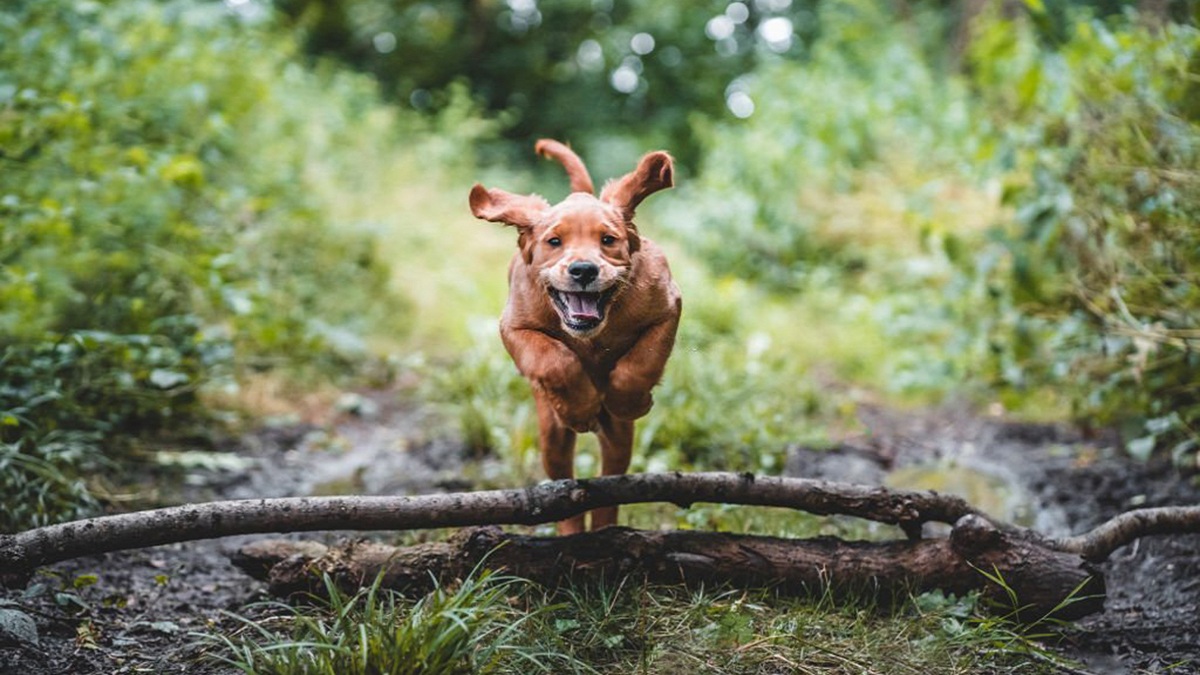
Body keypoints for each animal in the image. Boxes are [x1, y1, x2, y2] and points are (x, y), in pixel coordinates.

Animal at [468, 139, 681, 533]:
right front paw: (581, 408)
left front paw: (628, 401)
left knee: (611, 485)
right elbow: (553, 359)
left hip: (619, 440)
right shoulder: (514, 326)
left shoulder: (668, 306)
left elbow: (642, 363)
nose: (583, 269)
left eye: (608, 240)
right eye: (554, 241)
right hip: (551, 435)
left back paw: (605, 530)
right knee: (565, 487)